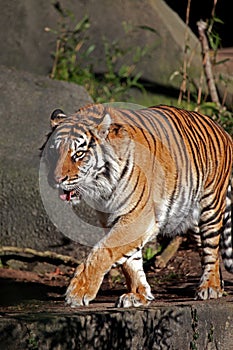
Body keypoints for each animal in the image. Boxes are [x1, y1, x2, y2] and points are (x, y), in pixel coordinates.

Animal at [41, 103, 232, 306]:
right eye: (53, 152)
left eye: (79, 154)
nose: (56, 180)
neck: (102, 187)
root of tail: (220, 127)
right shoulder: (112, 218)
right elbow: (130, 261)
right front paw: (138, 294)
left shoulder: (138, 217)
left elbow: (103, 251)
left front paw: (78, 291)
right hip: (190, 217)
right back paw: (216, 285)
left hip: (210, 207)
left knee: (212, 250)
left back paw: (210, 287)